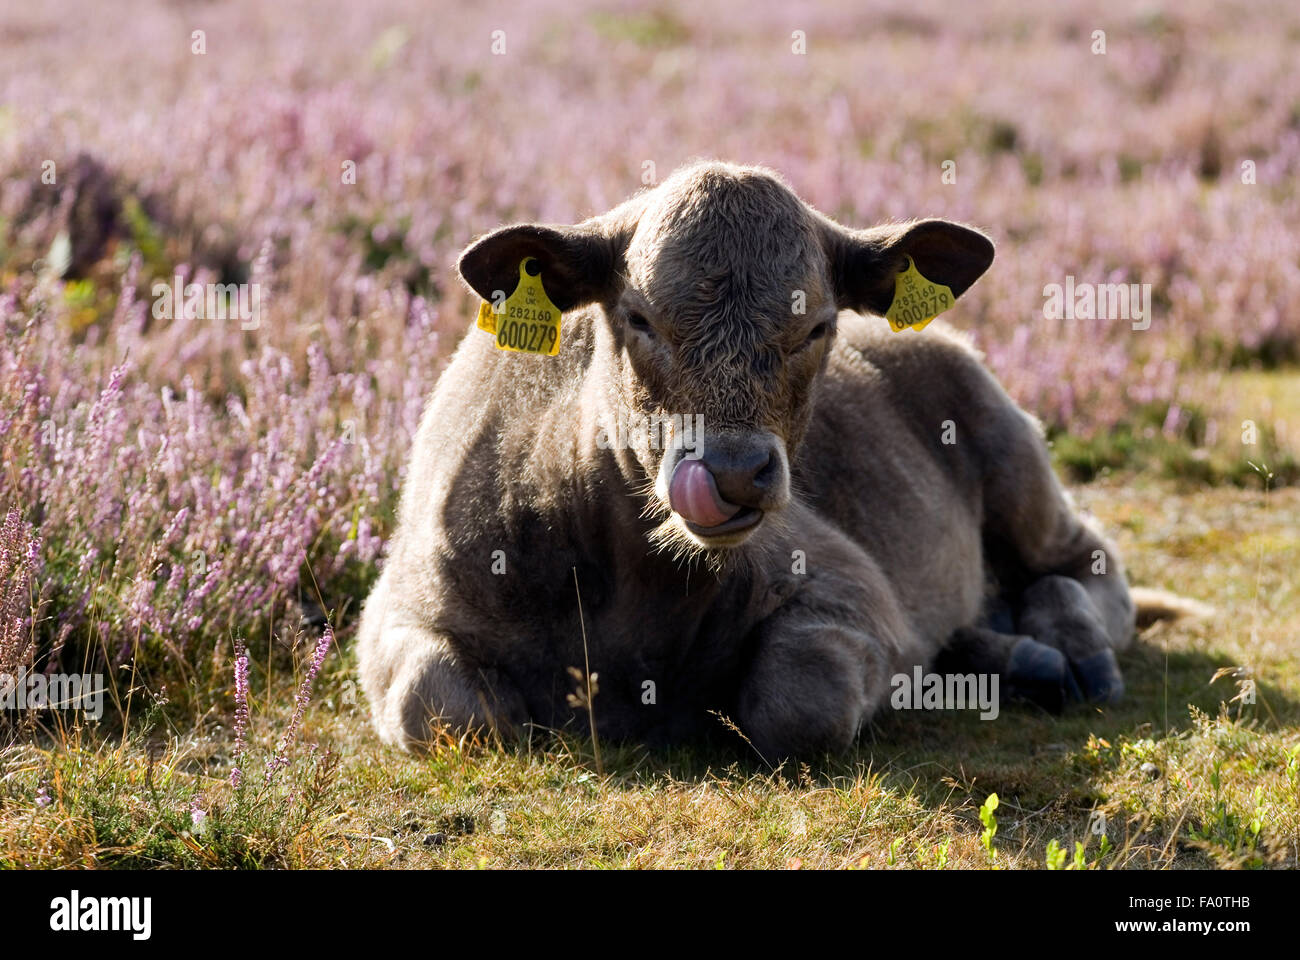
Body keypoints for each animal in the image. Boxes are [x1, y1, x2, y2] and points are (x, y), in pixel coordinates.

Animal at [356, 162, 1190, 764]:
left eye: (816, 326)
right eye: (639, 318)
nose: (731, 473)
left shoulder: (849, 589)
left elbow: (800, 703)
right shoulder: (400, 607)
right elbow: (442, 707)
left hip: (1019, 464)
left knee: (1086, 565)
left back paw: (1070, 653)